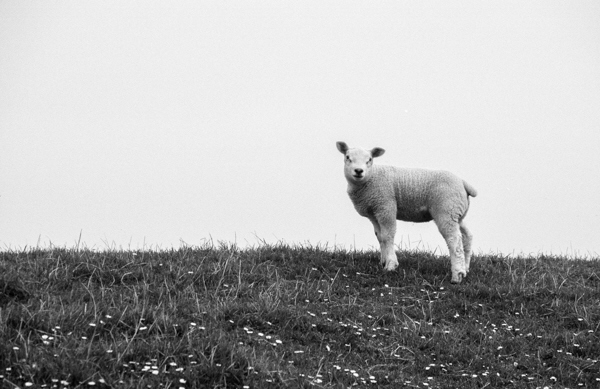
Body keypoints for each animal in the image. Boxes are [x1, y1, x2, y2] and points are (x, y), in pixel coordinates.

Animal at [338, 141, 478, 284]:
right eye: (348, 157)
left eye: (370, 159)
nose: (358, 171)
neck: (371, 178)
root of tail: (463, 182)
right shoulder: (374, 213)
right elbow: (380, 236)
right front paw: (383, 261)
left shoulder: (386, 206)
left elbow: (388, 236)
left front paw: (391, 265)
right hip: (457, 213)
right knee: (467, 236)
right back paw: (466, 268)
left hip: (446, 210)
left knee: (454, 239)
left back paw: (457, 275)